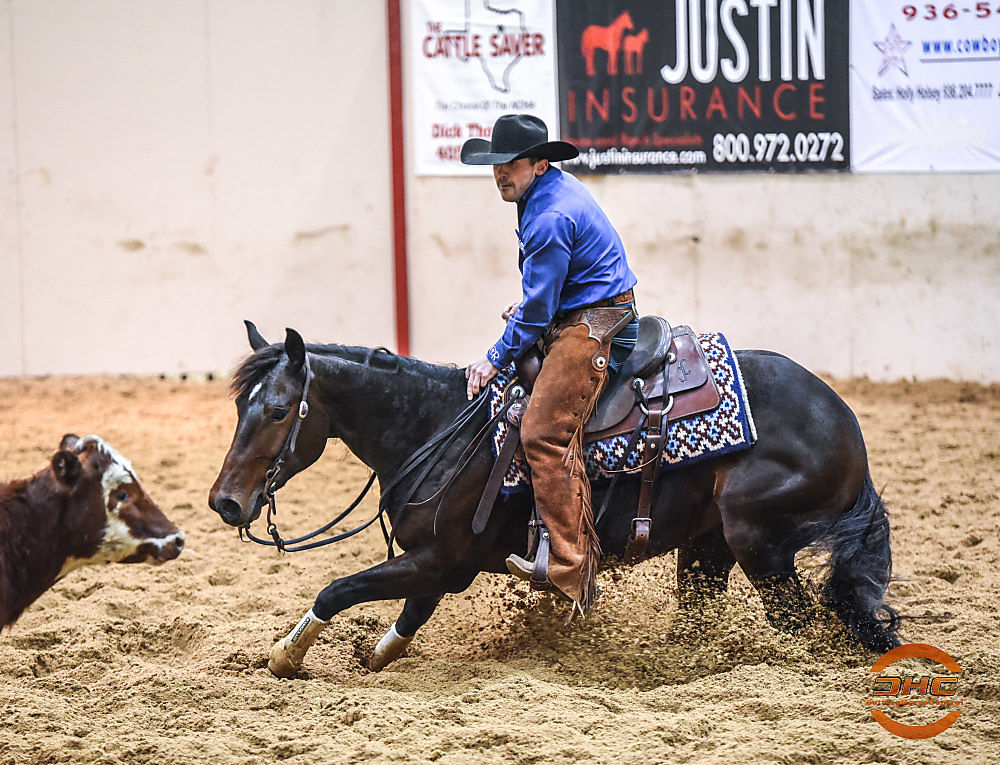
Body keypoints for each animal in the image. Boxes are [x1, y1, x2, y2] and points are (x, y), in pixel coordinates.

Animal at [208, 322, 900, 676]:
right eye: (239, 405)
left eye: (277, 410)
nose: (224, 503)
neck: (437, 425)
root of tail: (845, 424)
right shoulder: (436, 564)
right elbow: (406, 618)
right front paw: (371, 656)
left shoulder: (445, 560)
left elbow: (339, 589)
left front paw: (286, 655)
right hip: (708, 549)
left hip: (761, 546)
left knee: (808, 626)